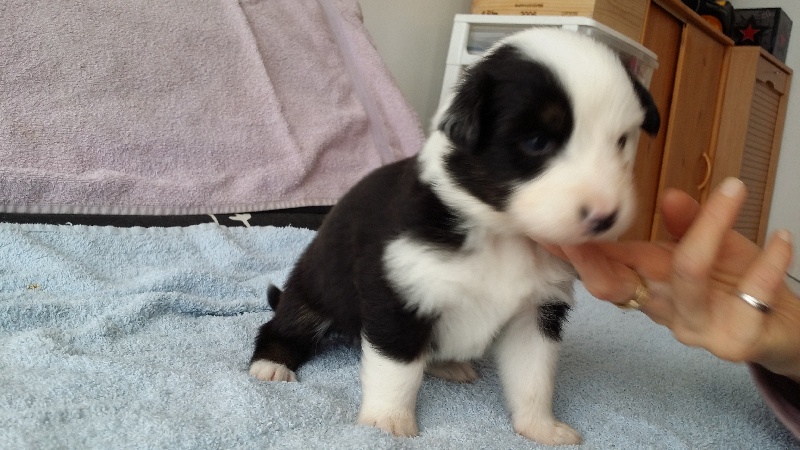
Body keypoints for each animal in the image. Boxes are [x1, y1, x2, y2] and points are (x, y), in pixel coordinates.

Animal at [249, 28, 660, 446]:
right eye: (537, 142)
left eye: (622, 141)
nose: (605, 217)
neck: (502, 235)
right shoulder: (399, 293)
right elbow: (397, 368)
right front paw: (387, 423)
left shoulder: (536, 312)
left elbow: (534, 376)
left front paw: (540, 427)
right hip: (312, 291)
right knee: (282, 325)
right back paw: (272, 364)